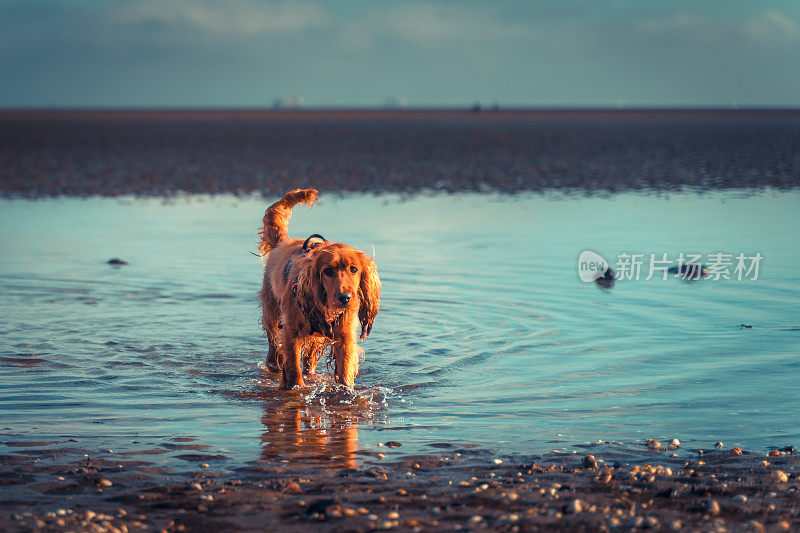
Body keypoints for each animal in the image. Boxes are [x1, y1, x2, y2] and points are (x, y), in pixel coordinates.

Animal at [258, 189, 380, 388]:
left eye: (354, 269)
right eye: (328, 271)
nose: (345, 297)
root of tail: (283, 242)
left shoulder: (344, 336)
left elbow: (345, 370)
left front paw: (345, 391)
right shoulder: (291, 332)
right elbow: (293, 368)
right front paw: (296, 390)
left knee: (309, 360)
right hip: (271, 313)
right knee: (273, 343)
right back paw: (273, 364)